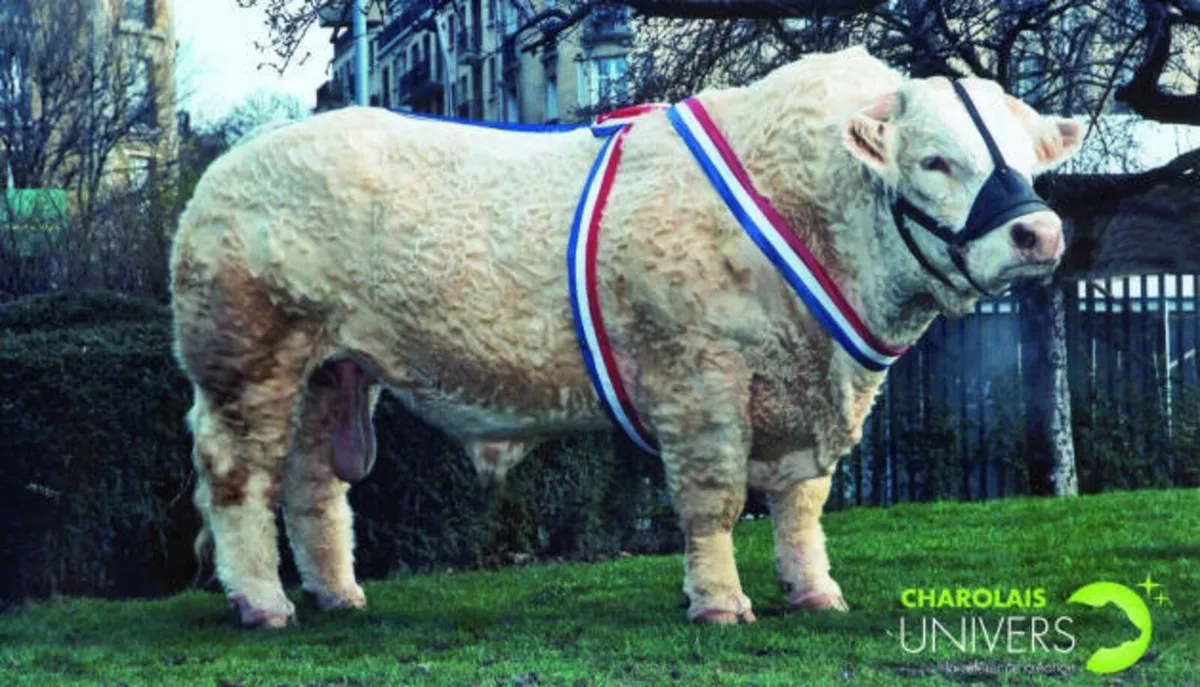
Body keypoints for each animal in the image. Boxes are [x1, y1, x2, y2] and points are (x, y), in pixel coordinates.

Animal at [170, 46, 1083, 628]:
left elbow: (800, 502)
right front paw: (719, 603)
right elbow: (714, 499)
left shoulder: (810, 395)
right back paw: (263, 602)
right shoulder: (699, 380)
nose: (1039, 232)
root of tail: (243, 153)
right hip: (247, 361)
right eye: (935, 161)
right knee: (237, 480)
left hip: (331, 370)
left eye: (1030, 158)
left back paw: (337, 594)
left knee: (312, 486)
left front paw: (814, 592)